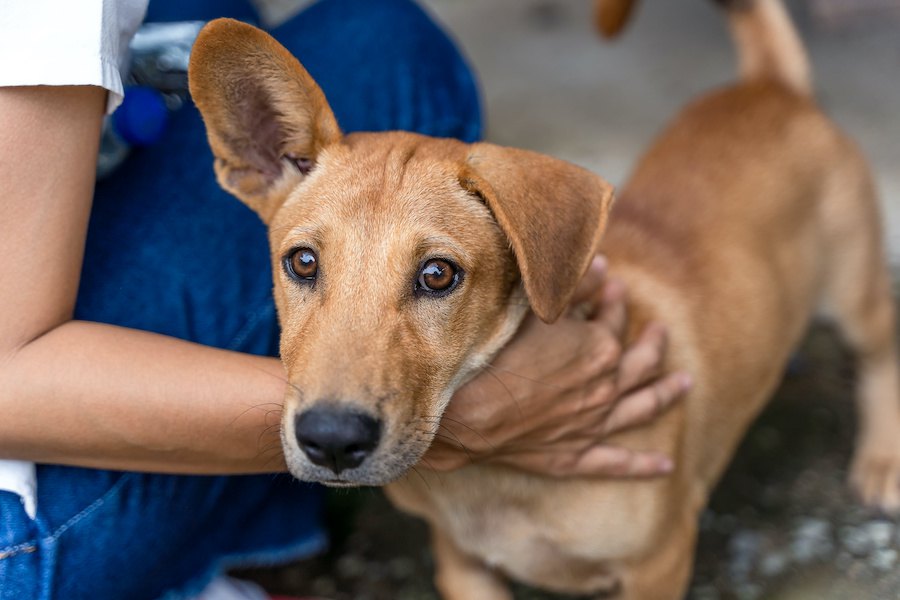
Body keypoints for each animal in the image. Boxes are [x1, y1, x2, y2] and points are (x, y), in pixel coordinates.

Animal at [188, 1, 900, 596]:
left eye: (439, 275)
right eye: (302, 262)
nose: (331, 441)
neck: (497, 484)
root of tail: (771, 87)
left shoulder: (658, 563)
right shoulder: (462, 563)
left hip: (855, 289)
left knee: (881, 348)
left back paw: (883, 461)